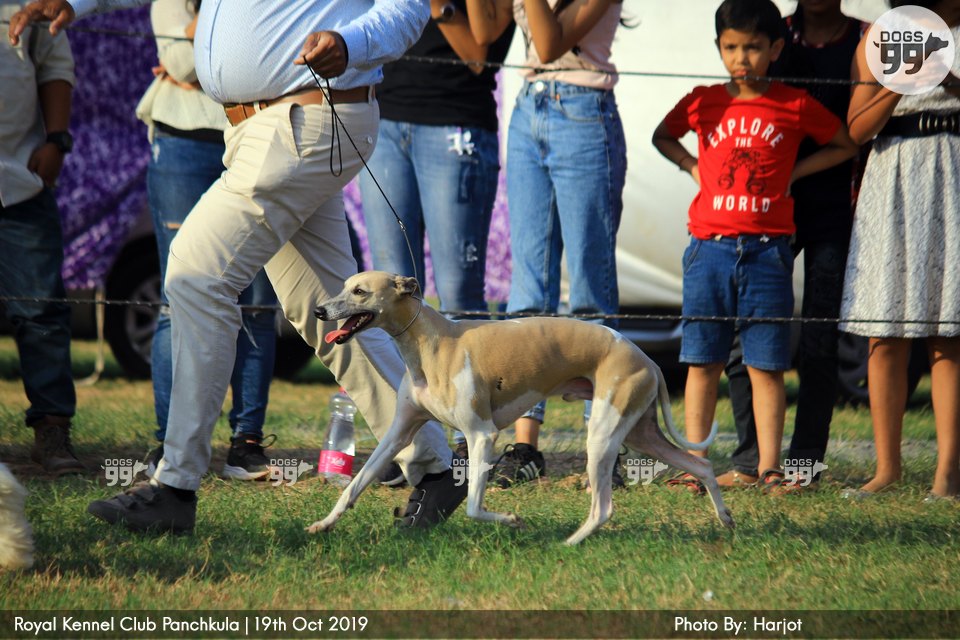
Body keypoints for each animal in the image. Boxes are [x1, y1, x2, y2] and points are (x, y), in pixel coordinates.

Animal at [308, 271, 734, 544]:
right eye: (345, 285)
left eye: (360, 291)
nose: (319, 312)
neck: (431, 342)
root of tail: (647, 359)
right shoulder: (398, 434)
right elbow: (356, 485)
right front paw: (323, 524)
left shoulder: (482, 435)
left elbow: (474, 506)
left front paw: (513, 520)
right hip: (641, 432)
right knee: (701, 466)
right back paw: (725, 519)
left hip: (602, 435)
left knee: (603, 508)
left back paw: (568, 543)